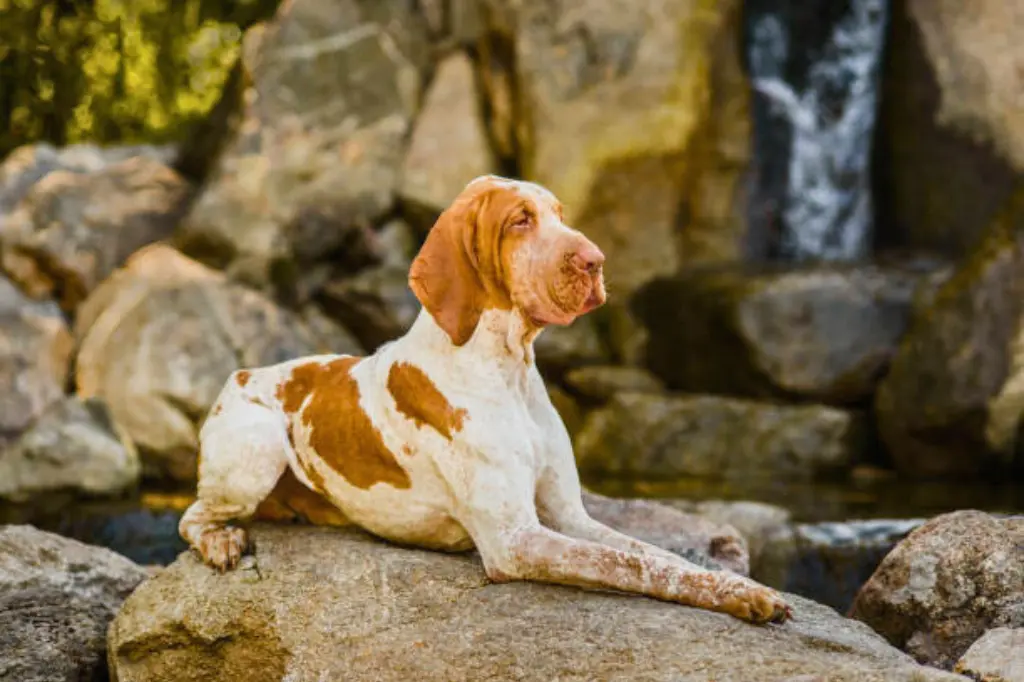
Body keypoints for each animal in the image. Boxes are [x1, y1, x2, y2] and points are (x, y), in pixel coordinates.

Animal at [178, 174, 790, 622]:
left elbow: (654, 556)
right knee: (192, 518)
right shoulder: (516, 541)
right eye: (520, 220)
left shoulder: (567, 514)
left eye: (561, 215)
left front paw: (738, 585)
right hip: (254, 451)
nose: (595, 261)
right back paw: (221, 542)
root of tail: (242, 373)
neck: (508, 372)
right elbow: (627, 566)